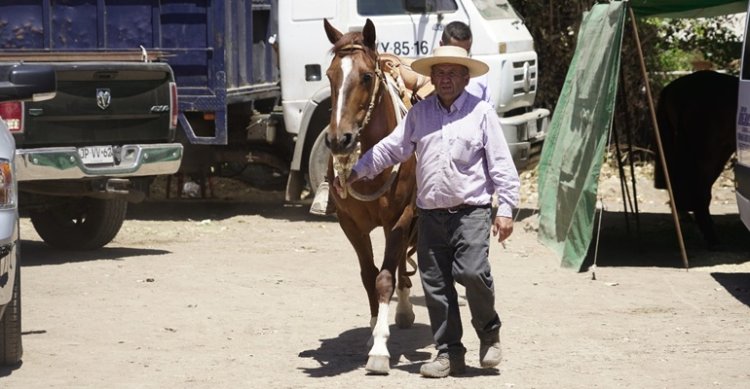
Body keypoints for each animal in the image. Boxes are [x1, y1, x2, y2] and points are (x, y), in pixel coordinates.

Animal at [322, 19, 420, 372]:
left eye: (365, 76)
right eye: (329, 75)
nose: (340, 139)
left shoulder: (400, 219)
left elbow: (385, 279)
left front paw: (380, 348)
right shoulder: (350, 224)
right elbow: (369, 276)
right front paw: (372, 331)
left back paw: (403, 311)